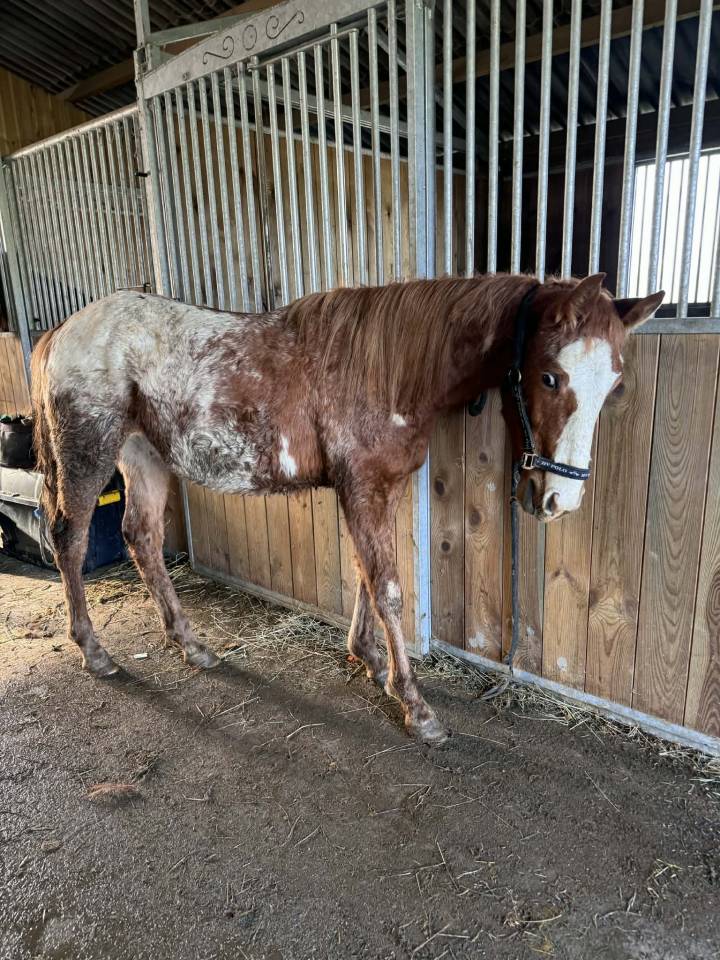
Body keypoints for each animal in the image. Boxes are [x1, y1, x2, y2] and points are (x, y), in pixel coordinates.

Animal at [30, 272, 663, 744]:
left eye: (613, 385)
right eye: (551, 377)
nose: (559, 499)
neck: (393, 367)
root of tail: (60, 333)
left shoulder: (377, 488)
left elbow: (365, 573)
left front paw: (370, 661)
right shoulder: (362, 487)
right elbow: (388, 588)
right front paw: (415, 706)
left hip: (144, 454)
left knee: (141, 537)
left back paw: (191, 645)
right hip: (89, 453)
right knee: (70, 539)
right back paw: (95, 652)